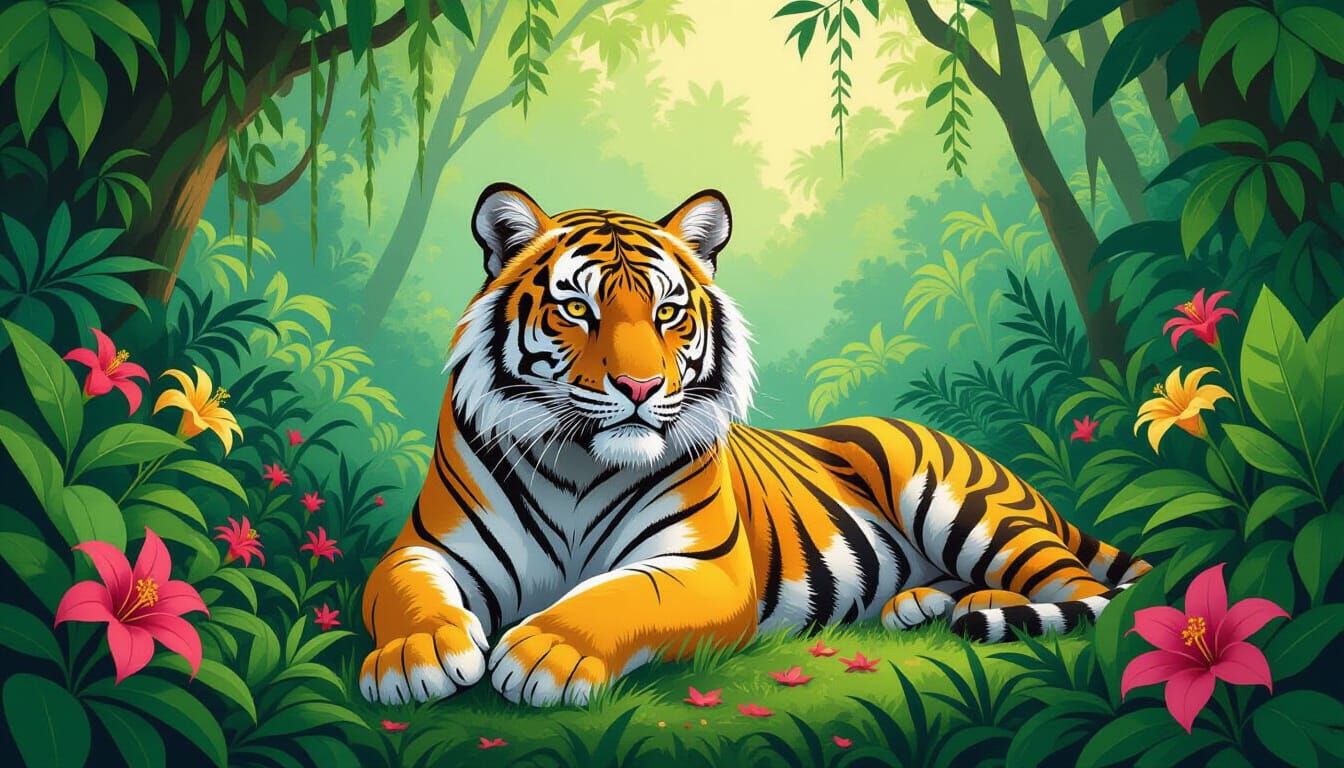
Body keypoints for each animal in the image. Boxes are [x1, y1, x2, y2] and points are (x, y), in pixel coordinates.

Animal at [358, 183, 1150, 707]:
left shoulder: (704, 565)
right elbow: (406, 592)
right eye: (576, 308)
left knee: (1081, 590)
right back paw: (924, 607)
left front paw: (549, 651)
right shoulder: (425, 549)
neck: (583, 464)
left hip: (962, 508)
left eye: (668, 312)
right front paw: (415, 655)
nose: (641, 386)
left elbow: (620, 593)